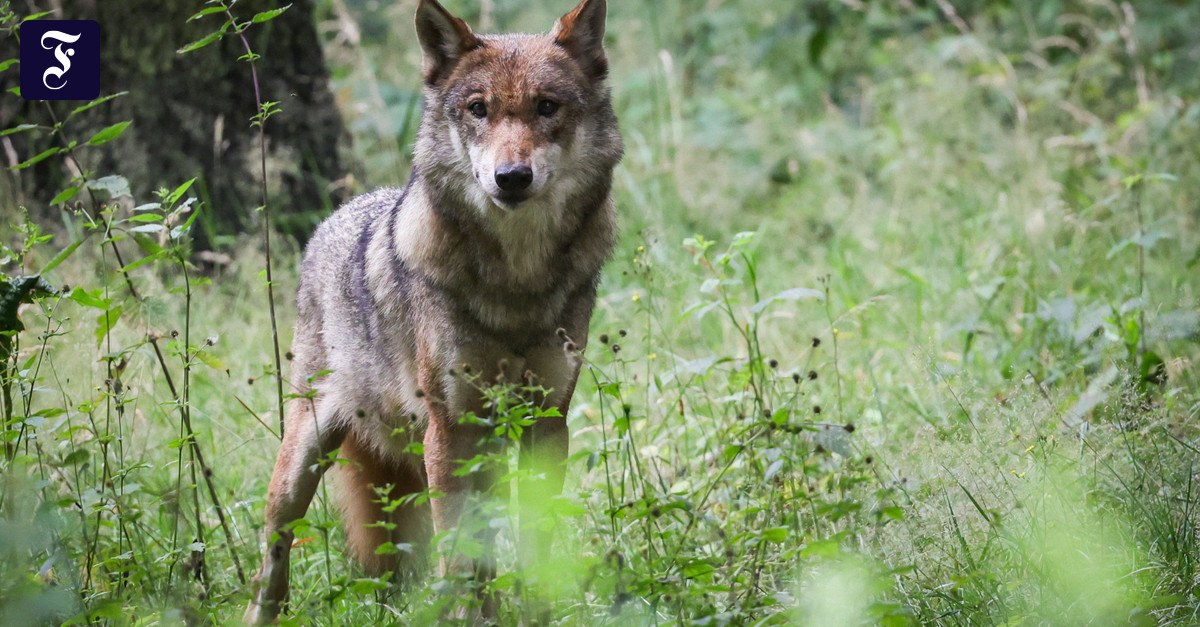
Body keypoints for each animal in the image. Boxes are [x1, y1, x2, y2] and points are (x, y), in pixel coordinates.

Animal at [243, 0, 621, 622]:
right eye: (478, 109)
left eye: (547, 107)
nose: (511, 178)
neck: (516, 283)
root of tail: (337, 214)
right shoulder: (450, 428)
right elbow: (457, 551)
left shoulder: (546, 422)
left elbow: (534, 544)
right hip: (302, 460)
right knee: (273, 553)